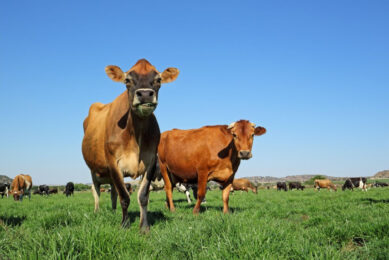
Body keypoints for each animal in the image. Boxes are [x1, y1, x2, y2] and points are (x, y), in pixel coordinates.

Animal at [82, 58, 180, 230]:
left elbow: (143, 196)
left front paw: (144, 226)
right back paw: (97, 211)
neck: (136, 135)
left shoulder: (150, 162)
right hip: (94, 170)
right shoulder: (113, 163)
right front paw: (125, 224)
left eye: (158, 79)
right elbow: (124, 197)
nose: (145, 94)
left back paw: (113, 211)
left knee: (112, 192)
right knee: (97, 191)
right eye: (127, 80)